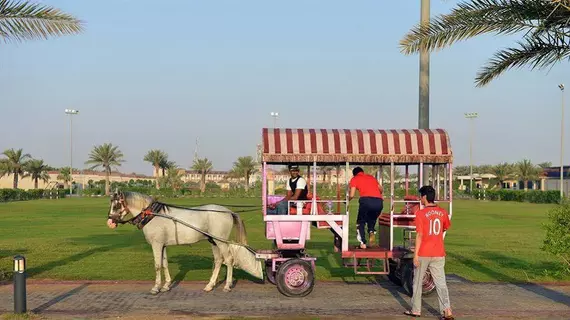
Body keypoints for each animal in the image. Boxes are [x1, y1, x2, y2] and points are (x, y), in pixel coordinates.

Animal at [105, 190, 260, 296]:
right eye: (111, 203)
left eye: (117, 204)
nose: (110, 221)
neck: (151, 215)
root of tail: (228, 211)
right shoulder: (163, 245)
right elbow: (165, 264)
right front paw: (166, 285)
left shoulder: (156, 244)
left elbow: (157, 266)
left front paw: (156, 287)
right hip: (213, 241)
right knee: (218, 260)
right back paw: (210, 285)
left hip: (220, 241)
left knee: (228, 260)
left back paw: (227, 285)